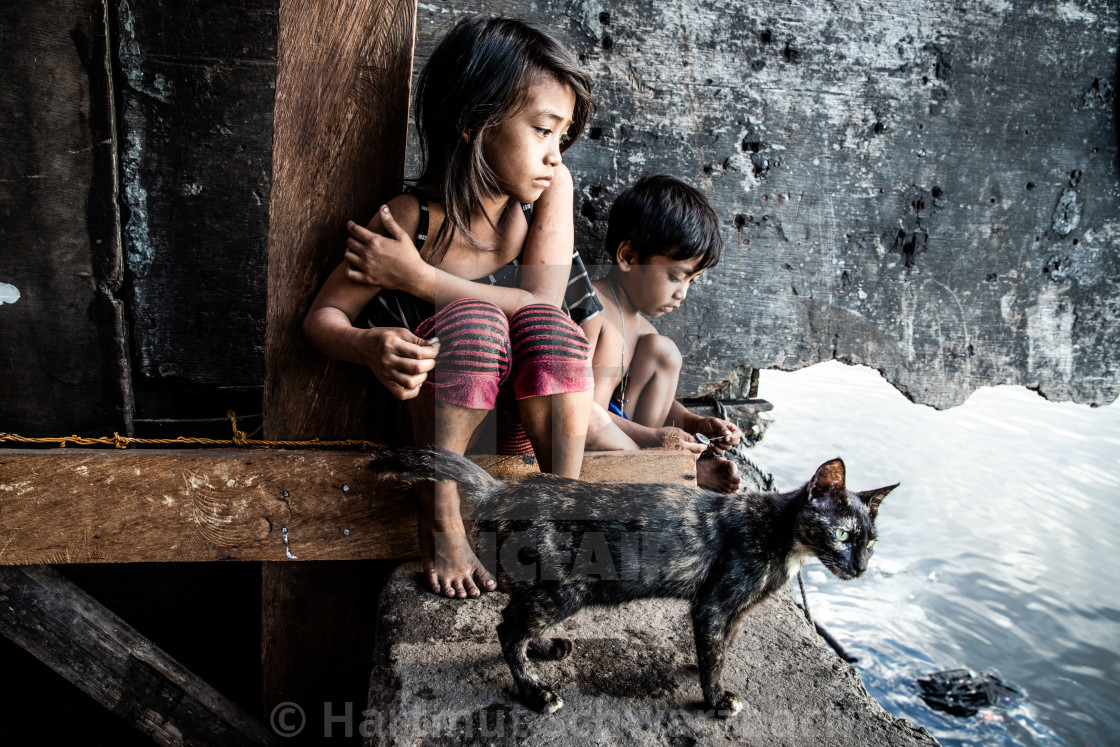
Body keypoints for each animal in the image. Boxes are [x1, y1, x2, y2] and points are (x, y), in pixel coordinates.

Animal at [371, 447, 896, 716]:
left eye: (871, 542)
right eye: (843, 534)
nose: (860, 567)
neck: (783, 540)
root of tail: (501, 487)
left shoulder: (731, 610)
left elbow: (719, 645)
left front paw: (702, 665)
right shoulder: (716, 601)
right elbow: (714, 650)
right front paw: (714, 698)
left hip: (542, 587)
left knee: (514, 619)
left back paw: (544, 648)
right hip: (564, 589)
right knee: (506, 630)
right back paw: (536, 692)